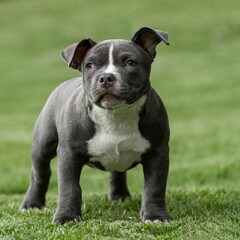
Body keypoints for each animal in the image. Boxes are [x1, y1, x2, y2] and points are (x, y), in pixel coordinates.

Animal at [19, 26, 172, 223]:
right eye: (90, 65)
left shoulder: (158, 152)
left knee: (117, 173)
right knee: (40, 173)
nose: (106, 77)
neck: (115, 115)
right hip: (43, 144)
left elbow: (154, 187)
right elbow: (69, 187)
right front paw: (66, 217)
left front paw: (155, 216)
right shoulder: (69, 154)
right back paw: (32, 204)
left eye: (130, 63)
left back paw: (119, 196)